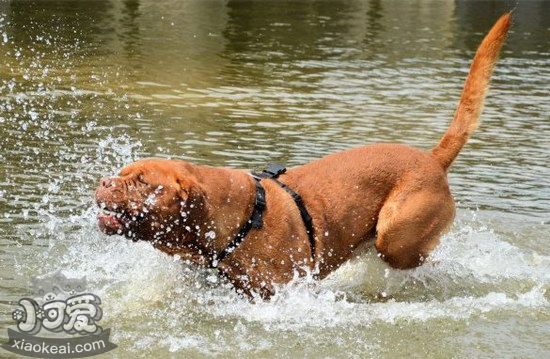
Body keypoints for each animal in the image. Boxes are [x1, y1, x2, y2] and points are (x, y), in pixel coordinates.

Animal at [95, 14, 512, 300]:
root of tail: (432, 158)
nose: (103, 182)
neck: (235, 220)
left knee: (426, 261)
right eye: (121, 172)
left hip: (396, 238)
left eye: (141, 182)